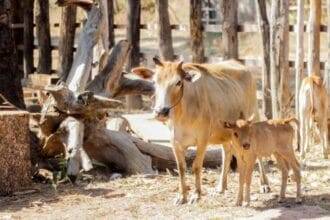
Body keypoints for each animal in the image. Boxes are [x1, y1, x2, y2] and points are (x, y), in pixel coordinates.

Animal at [133, 58, 270, 205]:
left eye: (178, 82)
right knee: (226, 152)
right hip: (227, 132)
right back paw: (221, 186)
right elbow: (181, 168)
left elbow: (196, 166)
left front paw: (196, 195)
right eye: (154, 82)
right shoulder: (175, 142)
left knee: (257, 153)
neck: (183, 115)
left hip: (253, 117)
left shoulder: (202, 139)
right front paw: (181, 196)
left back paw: (264, 184)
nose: (161, 111)